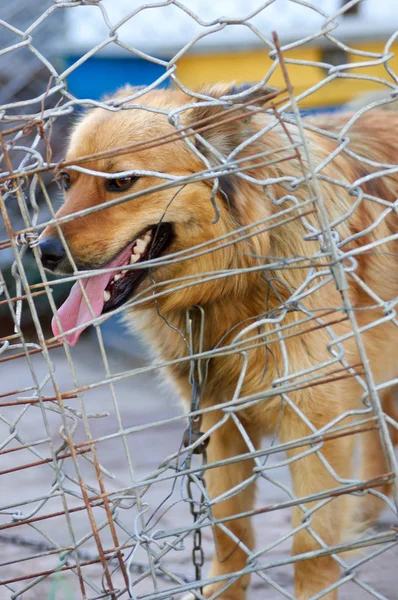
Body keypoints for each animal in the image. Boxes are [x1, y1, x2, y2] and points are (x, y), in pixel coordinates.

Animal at [38, 85, 398, 600]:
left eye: (121, 182)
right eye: (66, 180)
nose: (42, 253)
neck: (234, 276)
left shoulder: (316, 429)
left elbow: (311, 550)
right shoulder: (219, 421)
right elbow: (230, 534)